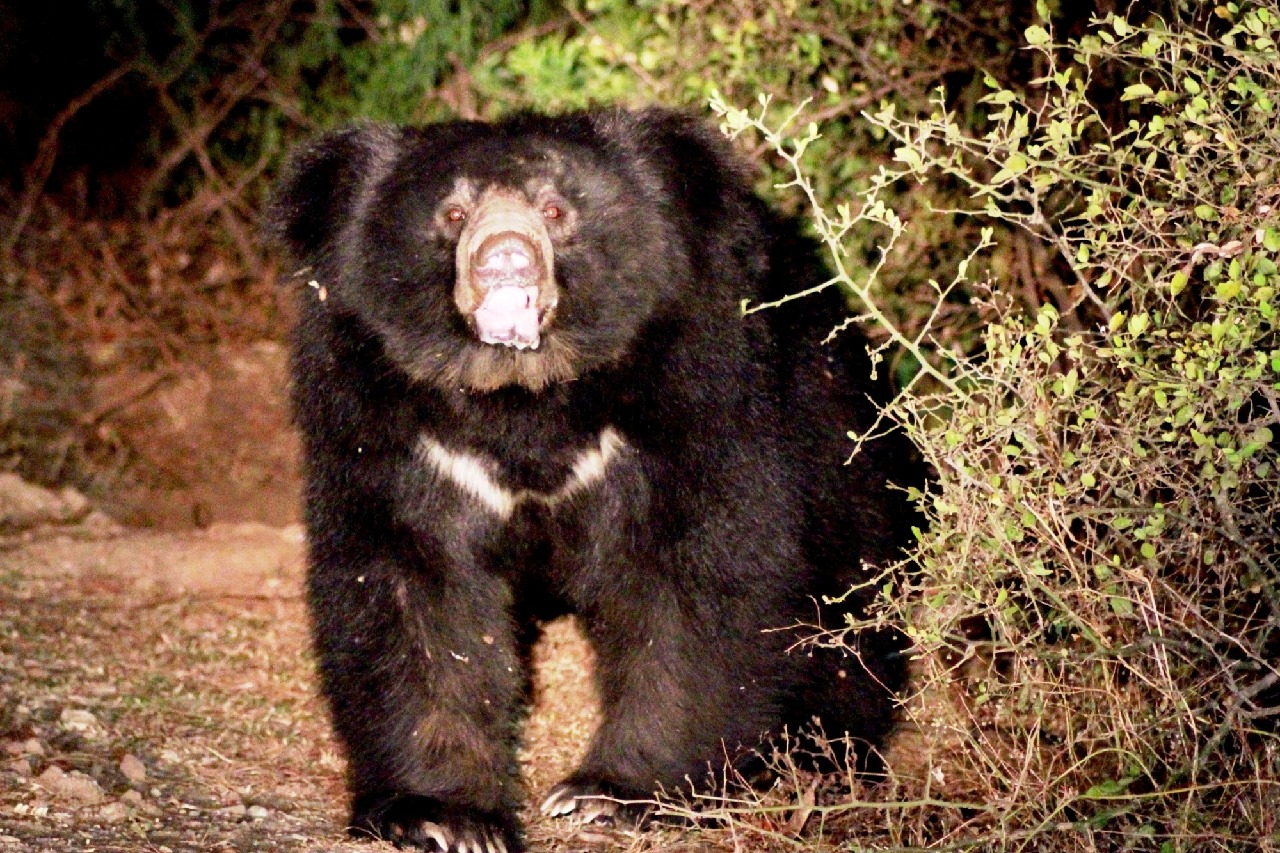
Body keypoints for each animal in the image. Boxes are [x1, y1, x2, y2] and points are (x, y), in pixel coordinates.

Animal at [269, 107, 924, 853]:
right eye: (453, 213)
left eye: (555, 210)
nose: (504, 257)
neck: (522, 394)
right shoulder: (392, 424)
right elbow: (410, 588)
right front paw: (442, 816)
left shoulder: (691, 393)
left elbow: (692, 581)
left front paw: (609, 796)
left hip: (831, 427)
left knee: (851, 596)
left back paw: (823, 759)